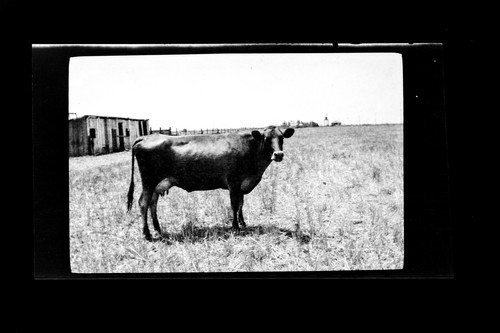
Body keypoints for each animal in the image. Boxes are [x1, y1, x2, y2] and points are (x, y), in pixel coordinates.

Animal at [127, 124, 294, 239]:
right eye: (266, 139)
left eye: (281, 138)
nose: (278, 154)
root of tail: (146, 137)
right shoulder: (233, 182)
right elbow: (234, 205)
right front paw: (235, 227)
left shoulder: (241, 185)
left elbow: (241, 204)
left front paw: (243, 223)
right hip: (148, 182)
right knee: (143, 203)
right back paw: (147, 234)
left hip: (157, 185)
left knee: (152, 203)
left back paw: (158, 229)